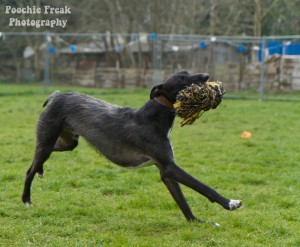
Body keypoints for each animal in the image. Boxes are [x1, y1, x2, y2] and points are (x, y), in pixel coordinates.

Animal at [21, 71, 241, 224]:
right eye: (181, 78)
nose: (206, 76)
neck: (154, 117)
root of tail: (56, 95)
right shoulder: (169, 166)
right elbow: (203, 186)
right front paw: (230, 203)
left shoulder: (165, 171)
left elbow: (182, 200)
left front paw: (195, 221)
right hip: (48, 139)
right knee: (29, 170)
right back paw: (26, 200)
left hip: (67, 142)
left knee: (34, 162)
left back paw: (40, 170)